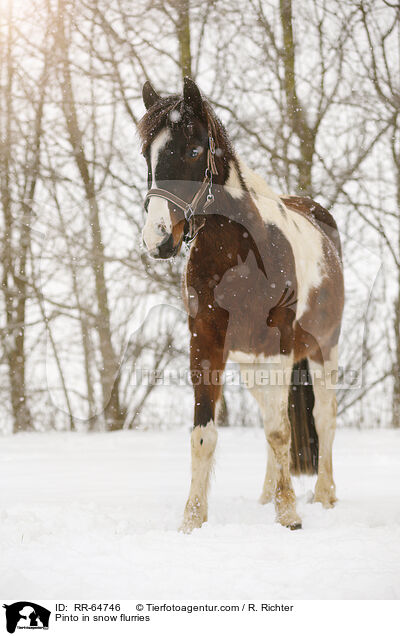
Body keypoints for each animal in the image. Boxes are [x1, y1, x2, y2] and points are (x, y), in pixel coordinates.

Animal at [138, 76, 344, 532]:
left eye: (193, 151)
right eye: (148, 154)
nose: (157, 239)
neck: (238, 255)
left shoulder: (279, 346)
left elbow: (282, 431)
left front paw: (290, 515)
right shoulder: (206, 343)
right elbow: (205, 434)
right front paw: (192, 519)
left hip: (323, 348)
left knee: (323, 417)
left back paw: (324, 495)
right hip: (251, 362)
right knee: (272, 417)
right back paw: (267, 496)